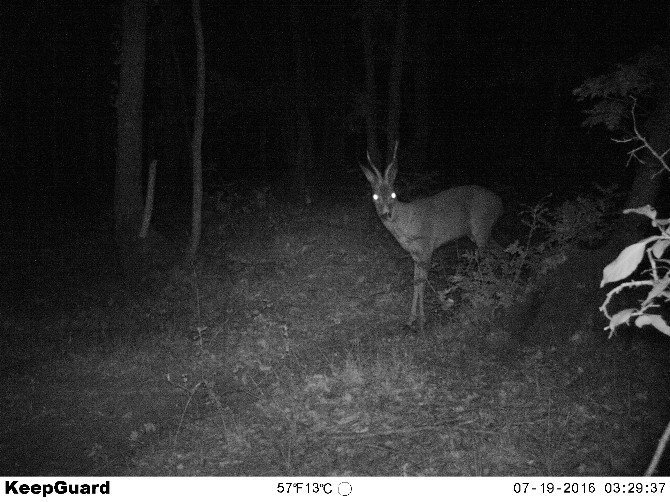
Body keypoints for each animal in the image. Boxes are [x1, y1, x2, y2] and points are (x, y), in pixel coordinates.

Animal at [362, 143, 504, 332]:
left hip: (481, 227)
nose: (386, 214)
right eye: (375, 196)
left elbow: (422, 282)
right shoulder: (414, 253)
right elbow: (416, 282)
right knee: (498, 251)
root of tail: (500, 204)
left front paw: (421, 320)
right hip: (480, 232)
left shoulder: (427, 246)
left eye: (393, 194)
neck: (407, 226)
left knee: (486, 257)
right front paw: (410, 319)